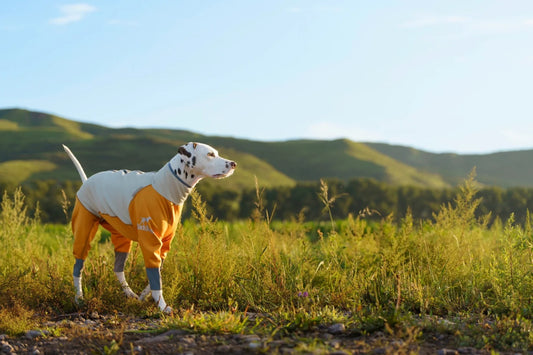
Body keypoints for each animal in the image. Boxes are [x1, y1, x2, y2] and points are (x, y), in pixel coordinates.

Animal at [63, 143, 236, 314]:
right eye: (210, 154)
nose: (234, 164)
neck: (166, 189)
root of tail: (86, 181)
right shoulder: (150, 240)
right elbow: (155, 275)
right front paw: (162, 306)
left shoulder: (164, 244)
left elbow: (156, 273)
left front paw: (145, 296)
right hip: (84, 231)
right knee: (78, 267)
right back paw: (79, 298)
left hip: (121, 237)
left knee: (118, 269)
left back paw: (129, 293)